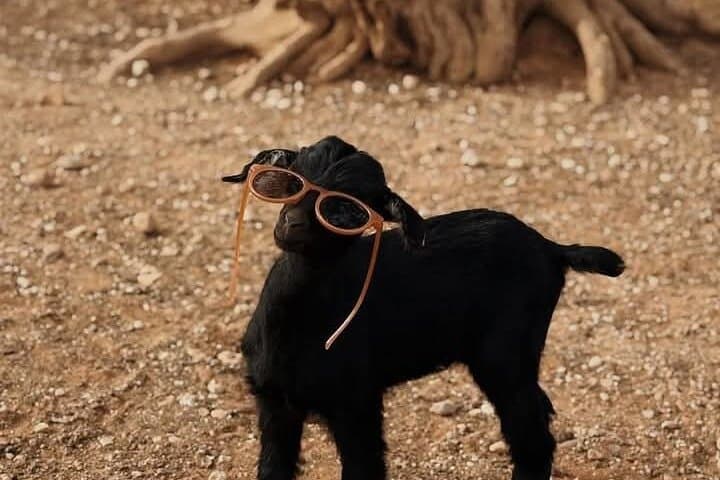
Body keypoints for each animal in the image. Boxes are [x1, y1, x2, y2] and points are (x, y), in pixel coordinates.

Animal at [222, 136, 624, 480]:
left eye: (347, 211)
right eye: (290, 181)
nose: (291, 225)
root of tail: (551, 247)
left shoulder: (356, 406)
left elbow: (365, 467)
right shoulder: (275, 406)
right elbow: (273, 469)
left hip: (505, 356)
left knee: (533, 436)